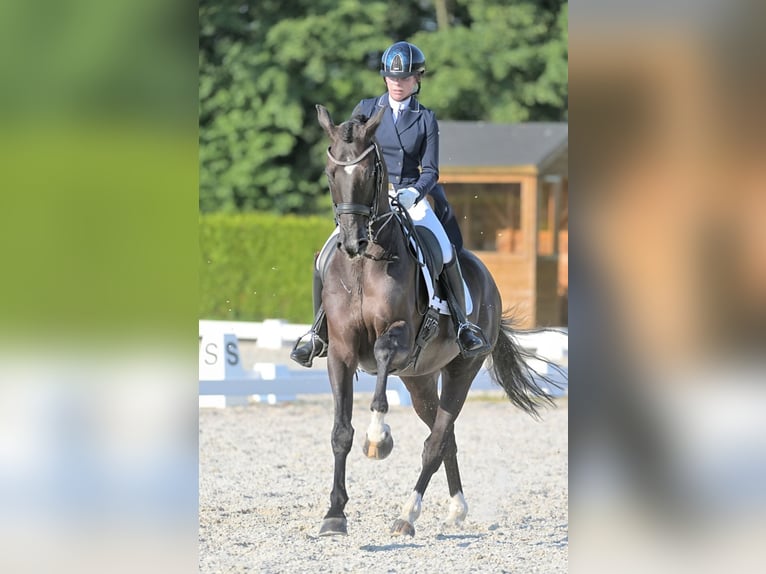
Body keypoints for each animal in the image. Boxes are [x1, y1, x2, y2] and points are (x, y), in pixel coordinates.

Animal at [314, 103, 553, 537]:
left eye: (369, 172)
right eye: (330, 173)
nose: (353, 242)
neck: (365, 265)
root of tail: (487, 278)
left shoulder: (400, 336)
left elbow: (381, 358)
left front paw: (379, 438)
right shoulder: (339, 350)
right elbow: (340, 432)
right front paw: (334, 515)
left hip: (462, 367)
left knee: (437, 439)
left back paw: (407, 514)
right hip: (419, 378)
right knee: (446, 435)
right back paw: (456, 508)